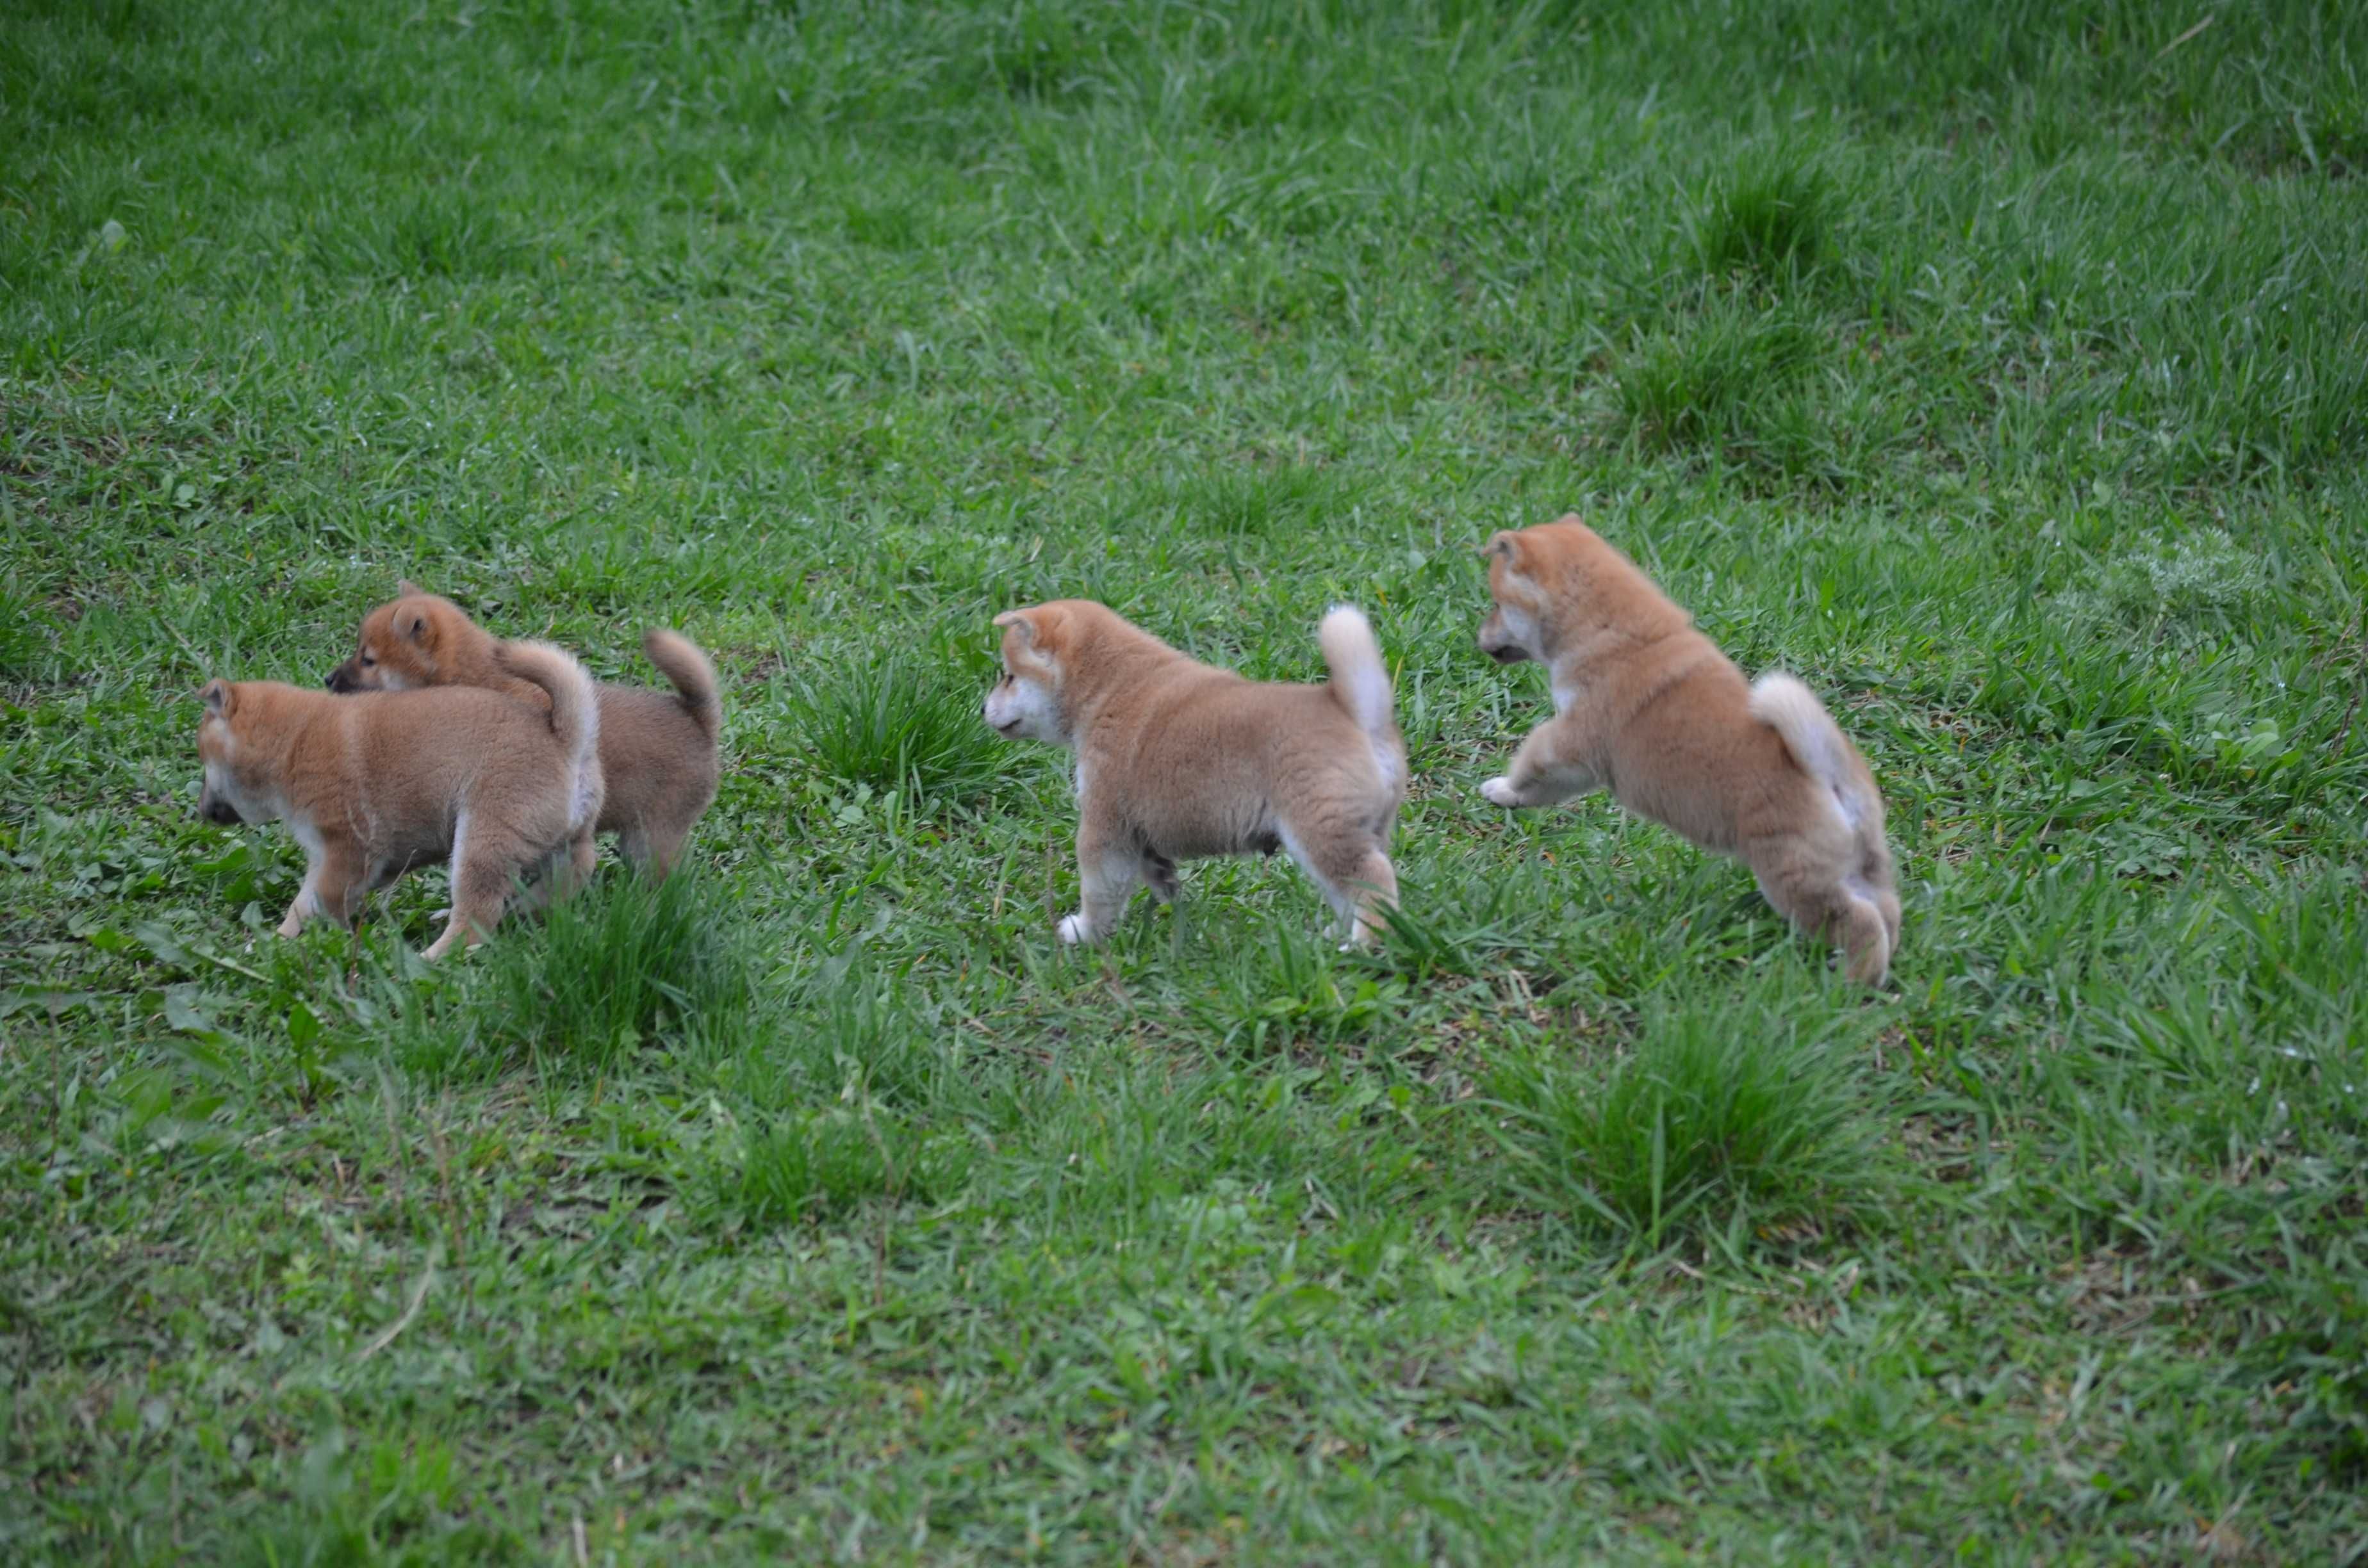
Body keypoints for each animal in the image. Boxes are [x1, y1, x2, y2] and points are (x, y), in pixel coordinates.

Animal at [195, 639, 606, 956]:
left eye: (204, 762)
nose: (200, 812)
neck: (294, 742)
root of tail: (564, 742)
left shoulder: (347, 852)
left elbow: (322, 901)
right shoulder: (327, 858)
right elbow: (301, 905)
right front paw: (275, 943)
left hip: (482, 844)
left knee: (475, 920)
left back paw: (432, 957)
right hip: (561, 845)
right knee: (566, 879)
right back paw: (519, 912)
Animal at [980, 599, 1402, 947]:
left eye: (1009, 677)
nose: (983, 709)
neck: (1109, 688)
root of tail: (1354, 712)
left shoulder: (1105, 823)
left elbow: (1100, 890)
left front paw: (1084, 932)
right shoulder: (1138, 831)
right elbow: (1153, 870)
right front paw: (1168, 898)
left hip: (1319, 829)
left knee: (1373, 880)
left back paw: (1364, 943)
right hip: (1357, 831)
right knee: (1349, 887)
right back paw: (1338, 935)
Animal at [1477, 516, 1903, 985]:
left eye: (1496, 604)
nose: (1479, 637)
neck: (1612, 634)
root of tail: (1830, 776)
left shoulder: (1569, 741)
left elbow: (1531, 765)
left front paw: (1502, 790)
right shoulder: (1584, 763)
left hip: (1793, 876)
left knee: (1858, 921)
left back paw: (1851, 980)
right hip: (1860, 864)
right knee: (1886, 910)